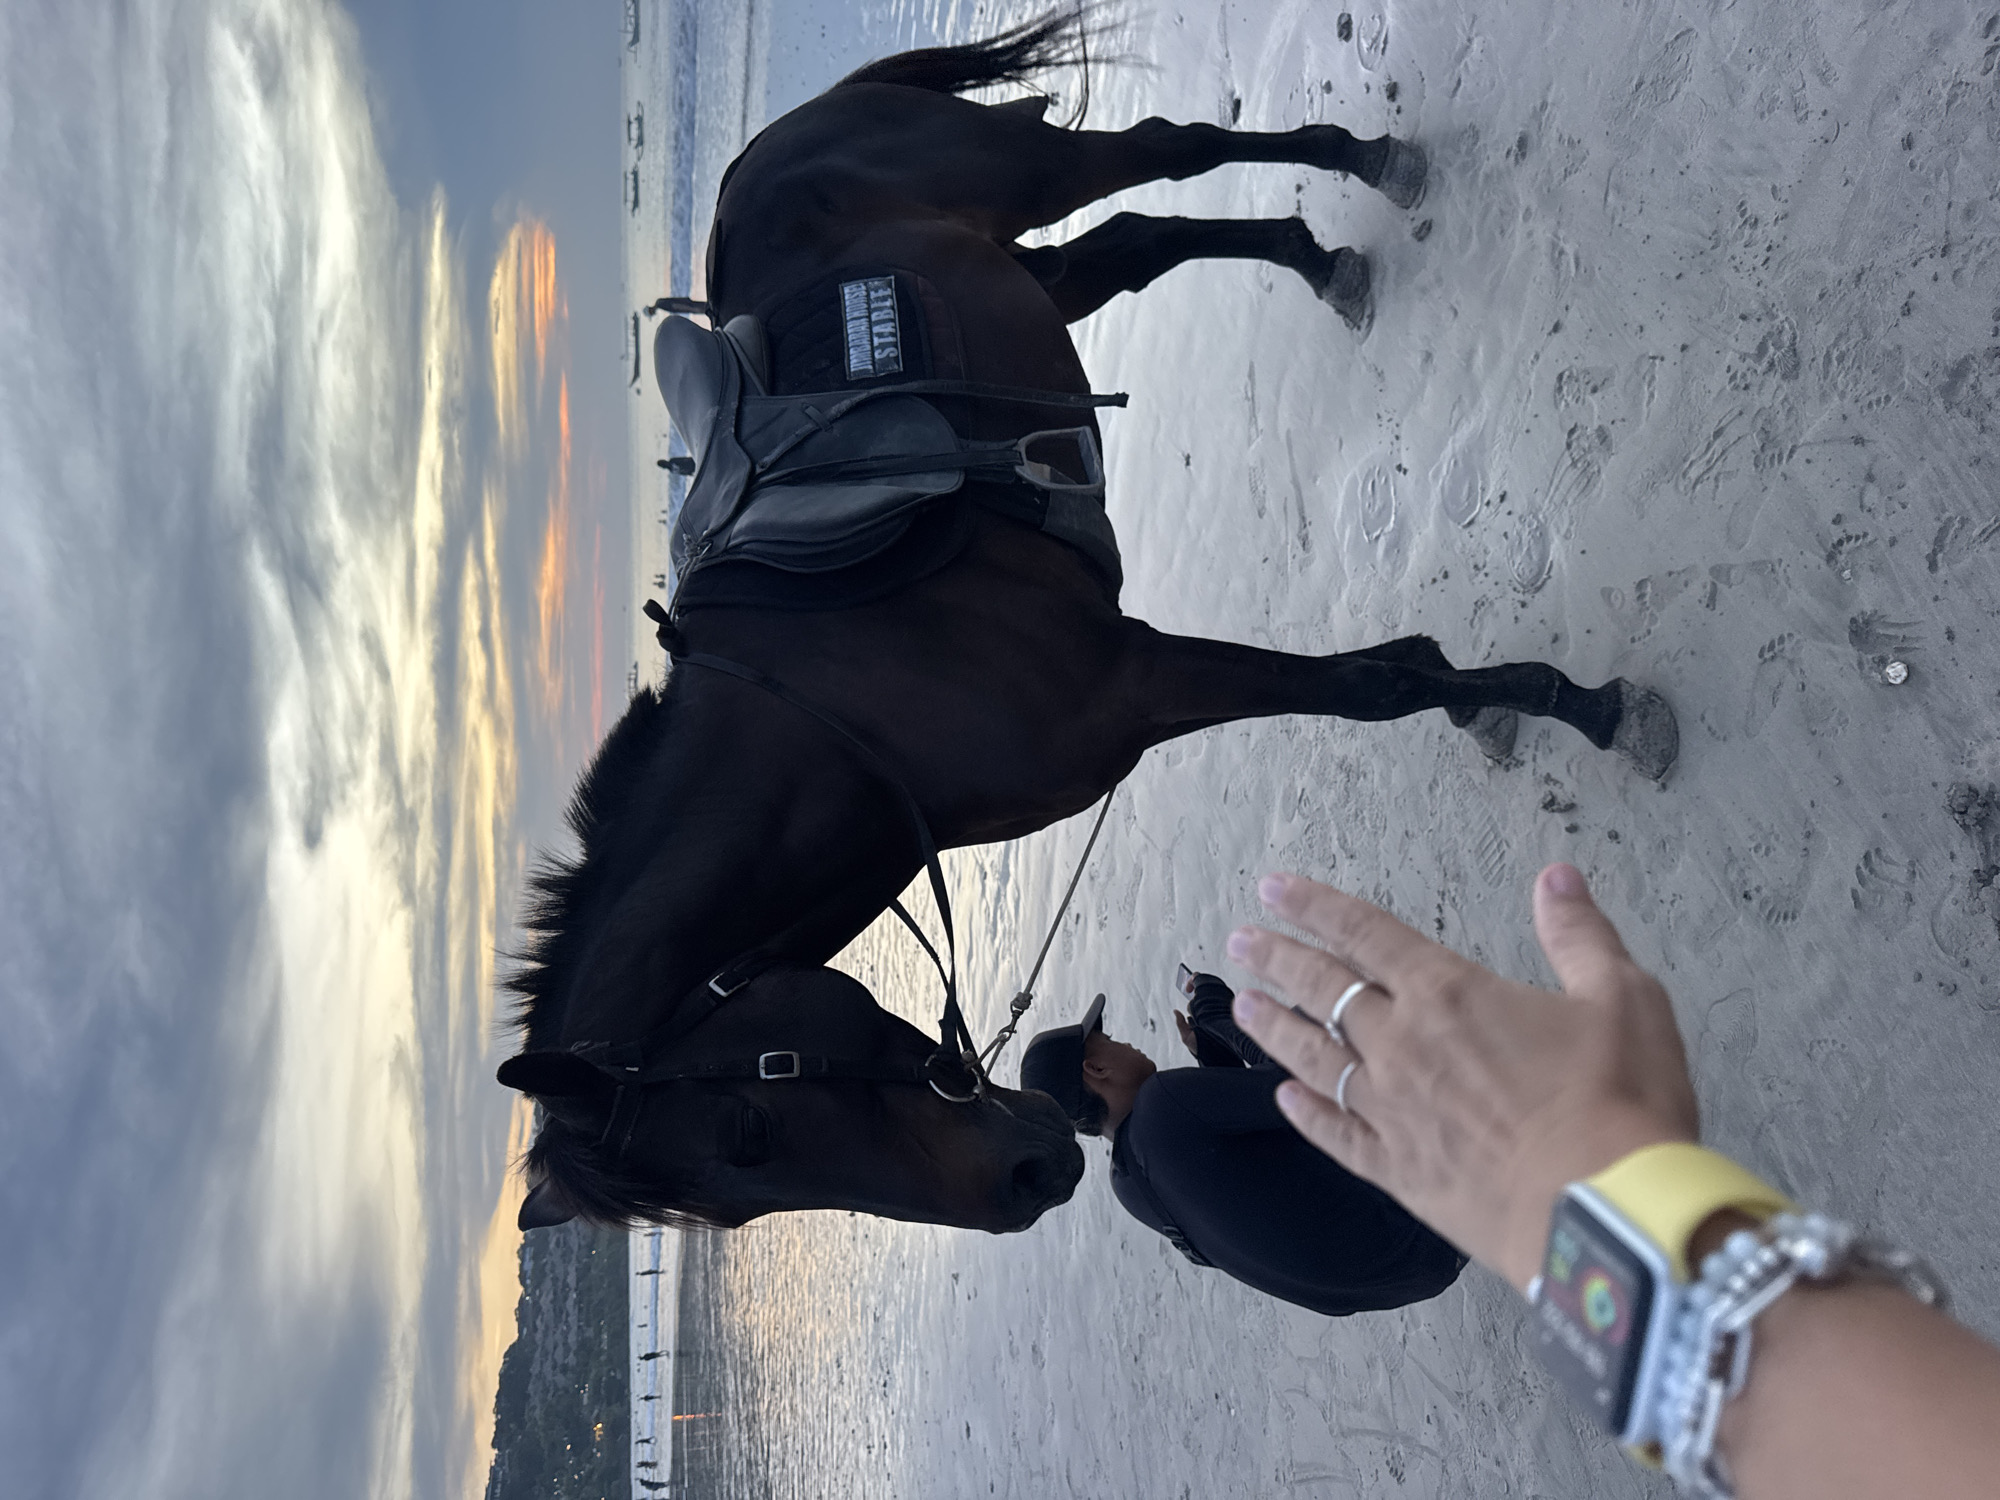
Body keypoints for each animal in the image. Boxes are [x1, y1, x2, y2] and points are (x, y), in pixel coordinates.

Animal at [498, 9, 1679, 1236]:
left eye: (748, 1127)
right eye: (735, 1196)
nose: (1028, 1183)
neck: (839, 714)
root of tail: (776, 140)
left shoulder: (1136, 678)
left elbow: (1376, 684)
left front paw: (1574, 704)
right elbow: (1376, 684)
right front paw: (1523, 706)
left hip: (1024, 171)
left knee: (1171, 149)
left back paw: (1362, 164)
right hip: (1028, 272)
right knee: (1138, 236)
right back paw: (1321, 259)